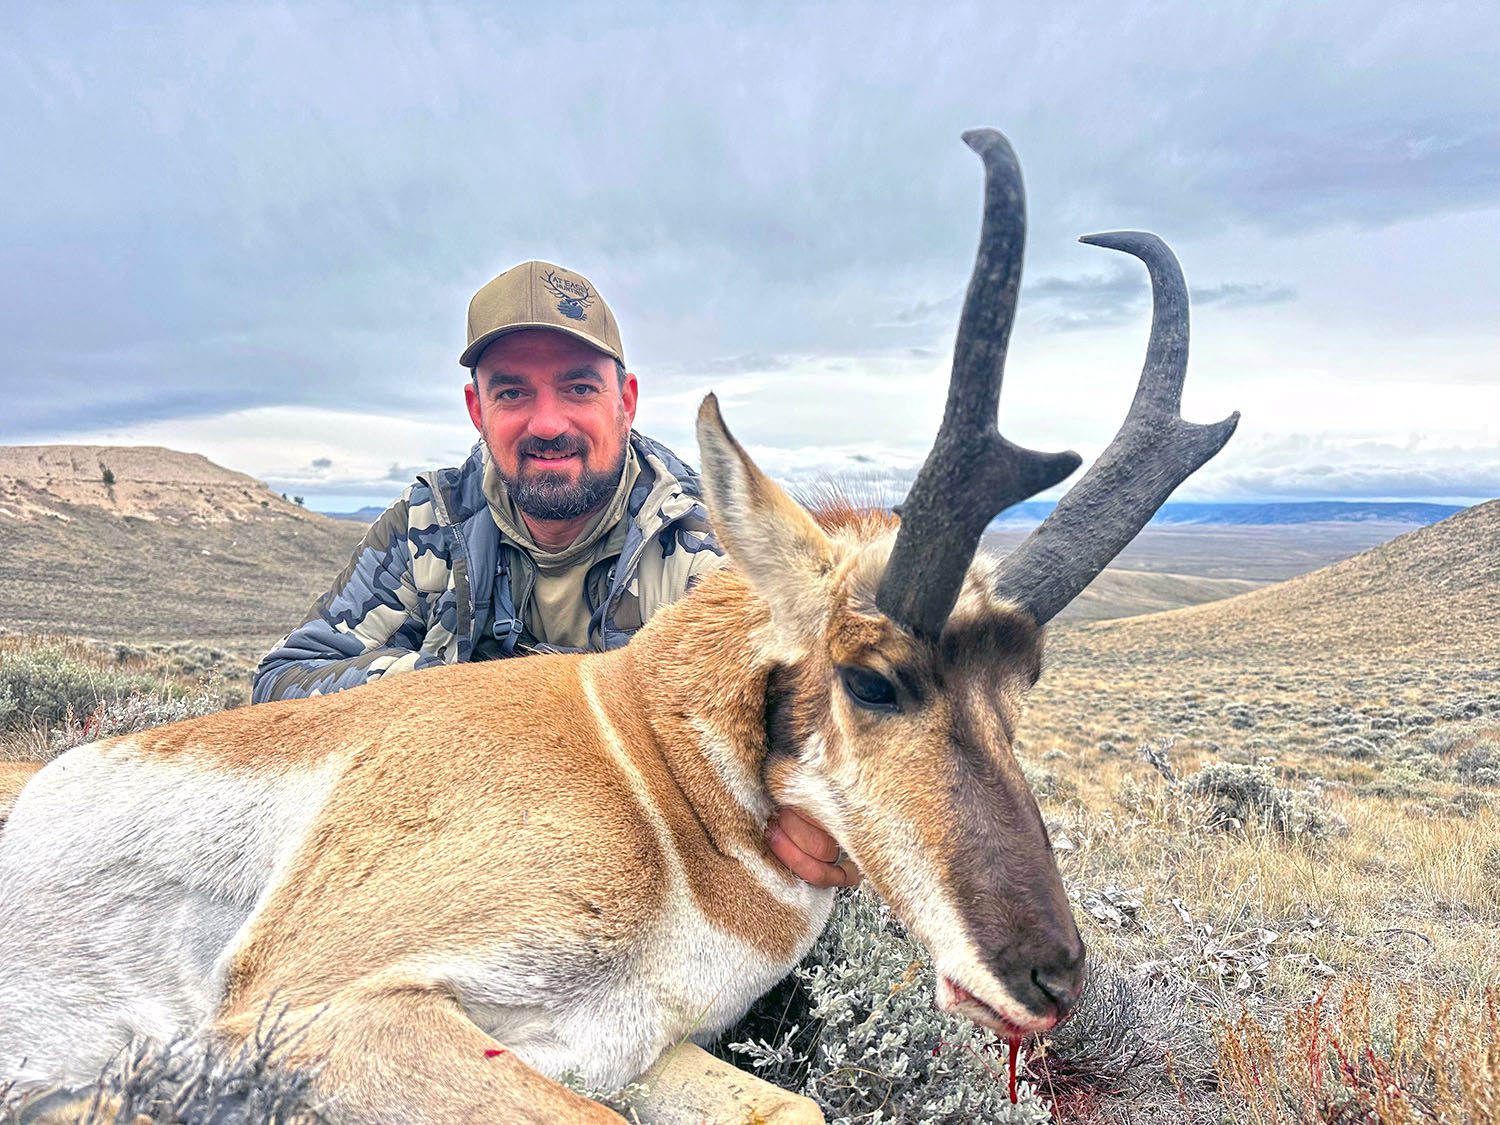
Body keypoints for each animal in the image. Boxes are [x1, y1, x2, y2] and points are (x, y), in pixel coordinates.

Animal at [0, 129, 1236, 1123]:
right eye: (874, 678)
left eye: (1024, 681)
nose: (1054, 976)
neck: (642, 757)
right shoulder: (319, 1007)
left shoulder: (624, 1046)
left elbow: (792, 1107)